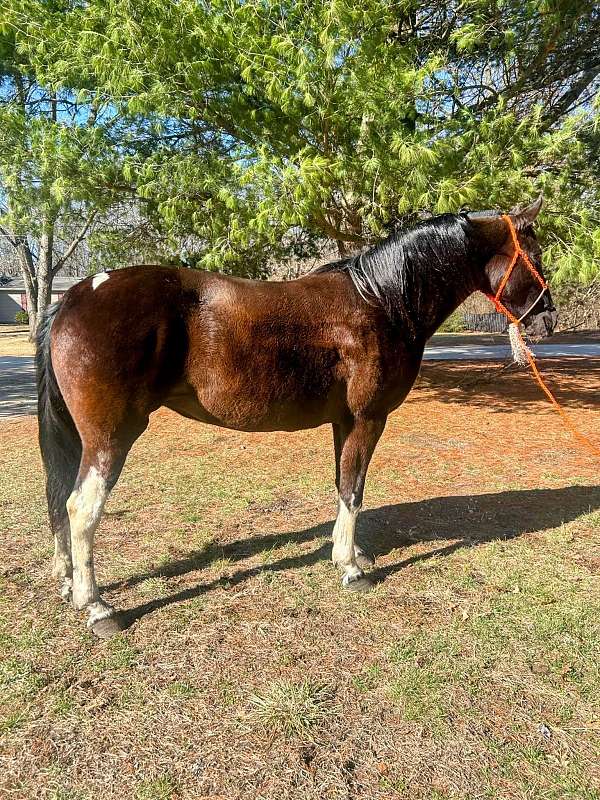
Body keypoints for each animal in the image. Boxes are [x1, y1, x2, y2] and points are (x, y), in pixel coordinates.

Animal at [35, 198, 556, 636]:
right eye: (535, 252)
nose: (547, 319)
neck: (381, 301)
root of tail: (76, 295)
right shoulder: (367, 419)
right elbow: (354, 488)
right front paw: (350, 567)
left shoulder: (344, 422)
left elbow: (344, 484)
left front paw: (350, 552)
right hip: (109, 437)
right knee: (81, 509)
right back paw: (97, 606)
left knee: (60, 500)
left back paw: (67, 582)